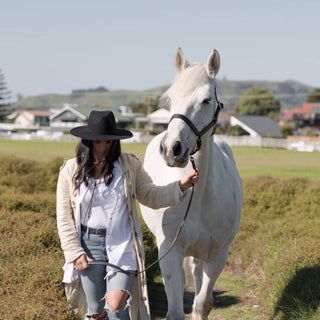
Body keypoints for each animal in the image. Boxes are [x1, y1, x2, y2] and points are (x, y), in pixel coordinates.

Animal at [140, 48, 242, 320]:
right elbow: (176, 310)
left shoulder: (217, 256)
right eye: (170, 99)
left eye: (206, 100)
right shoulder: (170, 251)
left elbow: (202, 304)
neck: (200, 196)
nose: (172, 149)